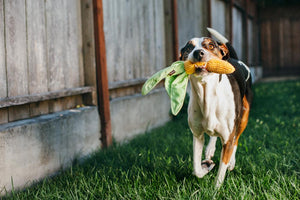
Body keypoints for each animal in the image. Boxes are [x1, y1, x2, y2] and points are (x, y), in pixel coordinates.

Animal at [180, 28, 253, 188]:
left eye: (211, 45)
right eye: (189, 48)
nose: (198, 53)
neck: (206, 94)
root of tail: (235, 59)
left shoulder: (228, 138)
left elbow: (222, 169)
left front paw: (216, 189)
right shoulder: (197, 135)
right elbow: (196, 168)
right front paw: (206, 167)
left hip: (244, 116)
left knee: (237, 138)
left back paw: (232, 162)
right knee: (213, 135)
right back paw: (210, 150)